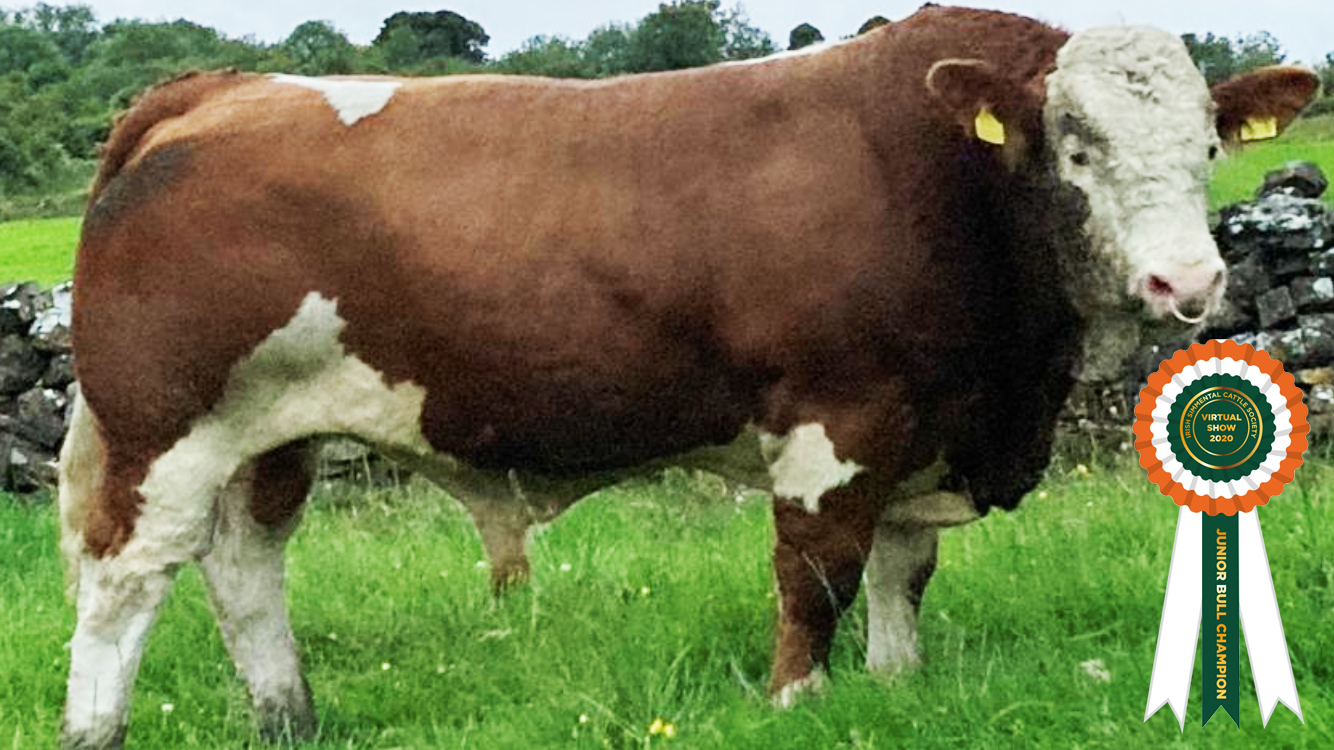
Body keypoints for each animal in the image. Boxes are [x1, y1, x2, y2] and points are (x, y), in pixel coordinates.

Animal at [57, 5, 1318, 748]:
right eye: (1075, 147)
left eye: (1208, 145)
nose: (1183, 282)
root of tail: (220, 88)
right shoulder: (834, 419)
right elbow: (816, 576)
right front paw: (798, 699)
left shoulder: (927, 426)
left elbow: (901, 573)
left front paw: (898, 689)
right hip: (162, 429)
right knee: (126, 579)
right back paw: (95, 728)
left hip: (270, 435)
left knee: (243, 565)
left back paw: (290, 718)